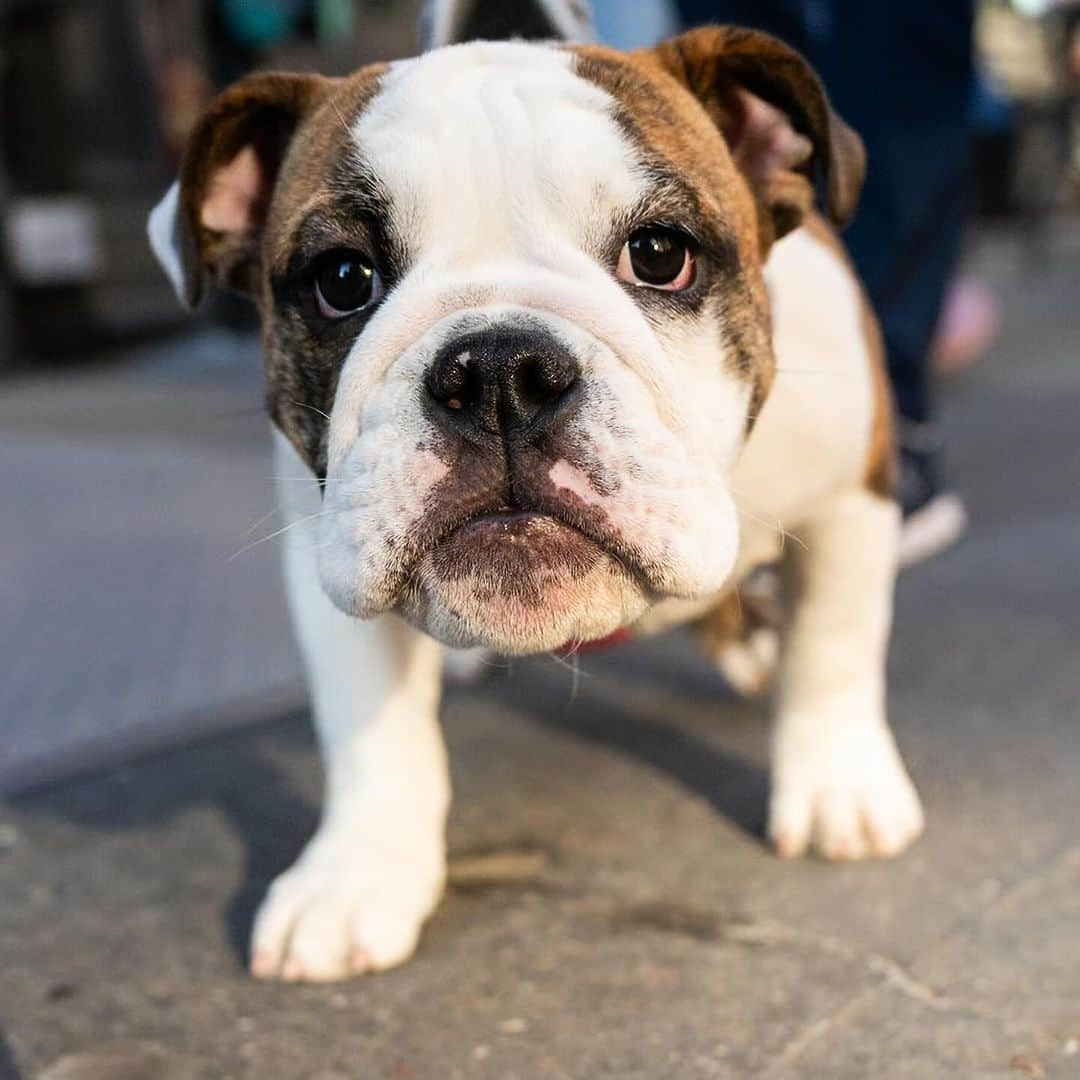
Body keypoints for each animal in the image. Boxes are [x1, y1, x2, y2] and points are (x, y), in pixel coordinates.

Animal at [147, 21, 924, 984]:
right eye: (342, 278)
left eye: (660, 254)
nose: (496, 372)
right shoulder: (324, 551)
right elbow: (368, 730)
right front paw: (355, 876)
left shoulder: (853, 495)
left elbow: (836, 647)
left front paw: (837, 787)